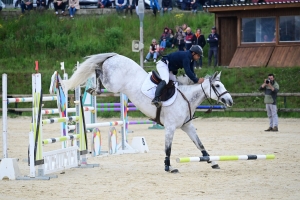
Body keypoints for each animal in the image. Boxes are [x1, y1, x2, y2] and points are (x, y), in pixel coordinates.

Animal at [61, 52, 234, 172]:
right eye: (217, 86)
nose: (230, 101)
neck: (186, 98)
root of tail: (115, 55)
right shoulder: (170, 128)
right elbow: (168, 149)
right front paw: (169, 168)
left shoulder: (187, 127)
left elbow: (201, 145)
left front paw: (214, 162)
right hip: (113, 84)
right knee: (98, 70)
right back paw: (94, 88)